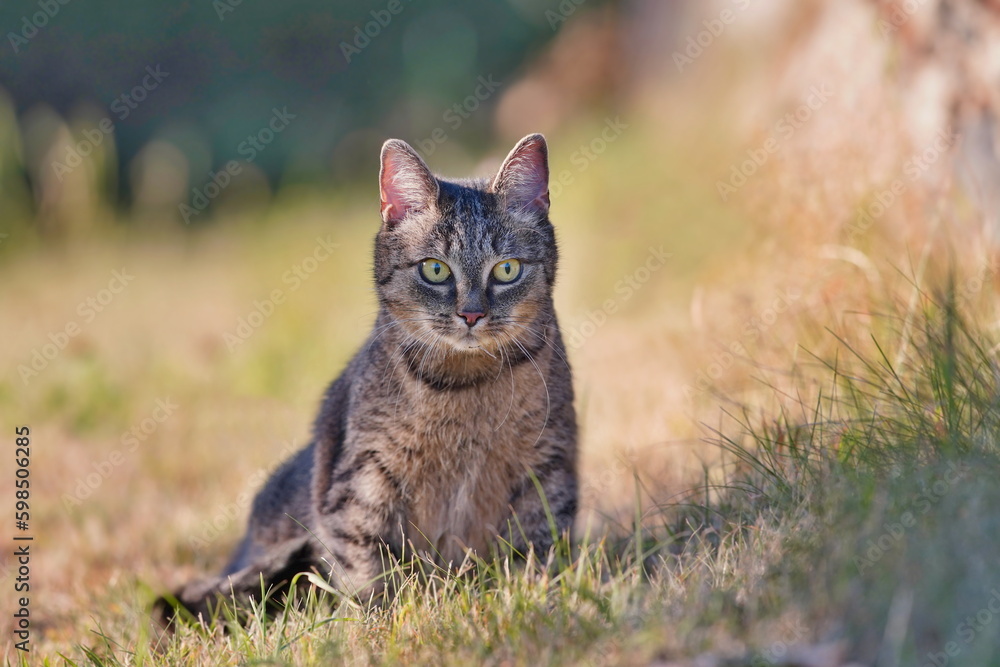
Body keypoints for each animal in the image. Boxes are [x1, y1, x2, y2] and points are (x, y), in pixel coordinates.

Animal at [157, 134, 580, 628]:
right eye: (435, 269)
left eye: (506, 269)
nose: (472, 314)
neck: (465, 386)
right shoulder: (362, 483)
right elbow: (368, 570)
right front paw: (379, 622)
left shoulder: (549, 468)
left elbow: (537, 551)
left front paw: (540, 602)